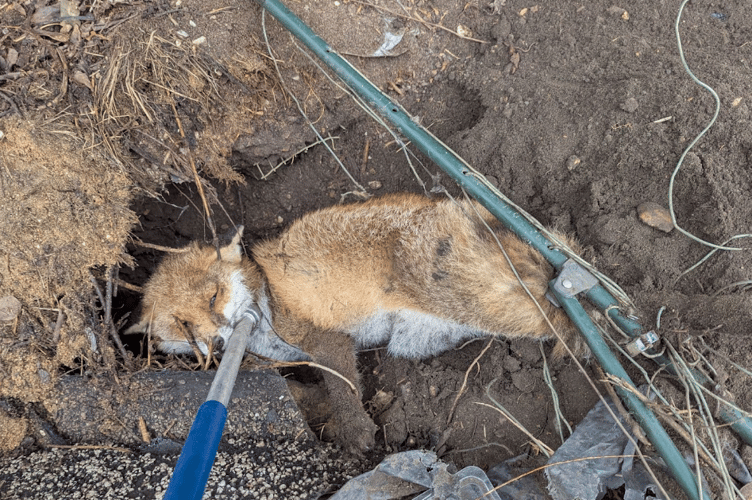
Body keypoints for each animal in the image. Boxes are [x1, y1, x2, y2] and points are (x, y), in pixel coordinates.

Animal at [126, 193, 584, 456]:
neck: (268, 299)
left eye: (213, 297)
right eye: (184, 327)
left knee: (552, 300)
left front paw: (355, 429)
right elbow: (310, 391)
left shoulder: (325, 338)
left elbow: (342, 386)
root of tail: (455, 203)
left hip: (474, 296)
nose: (219, 345)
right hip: (420, 335)